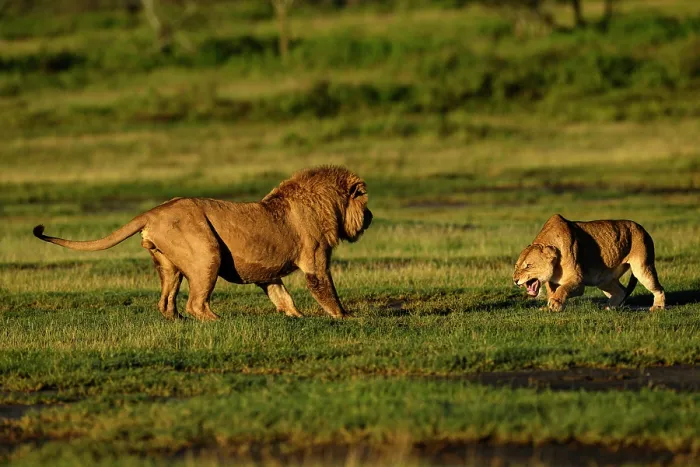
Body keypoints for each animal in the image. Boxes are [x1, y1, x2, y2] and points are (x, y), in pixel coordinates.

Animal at [33, 166, 373, 321]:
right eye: (365, 203)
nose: (370, 218)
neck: (328, 204)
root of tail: (153, 211)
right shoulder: (316, 261)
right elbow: (327, 292)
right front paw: (346, 318)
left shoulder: (267, 273)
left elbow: (281, 295)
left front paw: (296, 317)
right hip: (207, 254)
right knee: (195, 303)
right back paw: (217, 321)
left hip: (170, 266)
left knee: (166, 301)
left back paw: (177, 320)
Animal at [513, 214, 665, 312]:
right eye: (516, 266)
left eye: (528, 265)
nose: (515, 280)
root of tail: (642, 228)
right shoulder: (552, 281)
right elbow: (552, 292)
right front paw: (549, 306)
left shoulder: (577, 281)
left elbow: (563, 289)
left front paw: (555, 304)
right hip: (603, 280)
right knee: (621, 291)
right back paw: (609, 308)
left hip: (642, 268)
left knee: (659, 288)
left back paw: (657, 307)